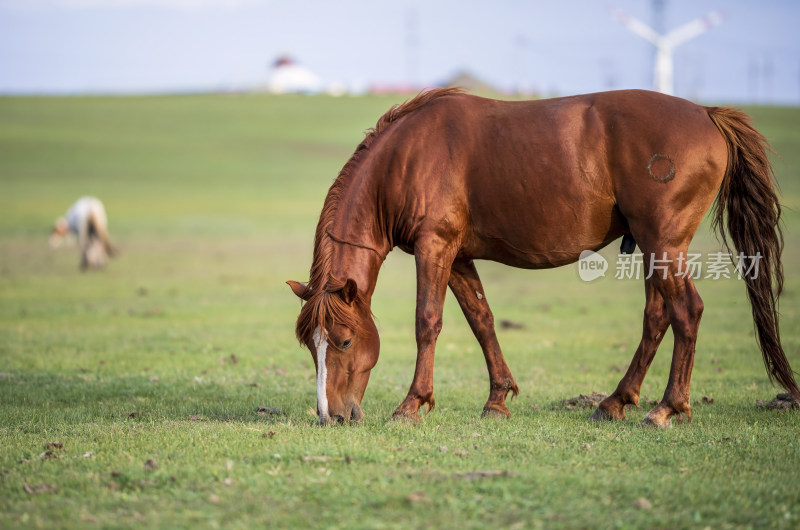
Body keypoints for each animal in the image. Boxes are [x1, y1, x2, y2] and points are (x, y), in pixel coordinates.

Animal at [290, 86, 800, 424]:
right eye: (310, 347)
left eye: (344, 342)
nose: (331, 415)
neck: (408, 157)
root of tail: (707, 113)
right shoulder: (457, 257)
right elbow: (481, 320)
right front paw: (497, 399)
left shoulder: (434, 247)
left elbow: (427, 322)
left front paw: (412, 404)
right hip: (653, 250)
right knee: (657, 317)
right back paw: (616, 401)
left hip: (664, 244)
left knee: (686, 312)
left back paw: (667, 408)